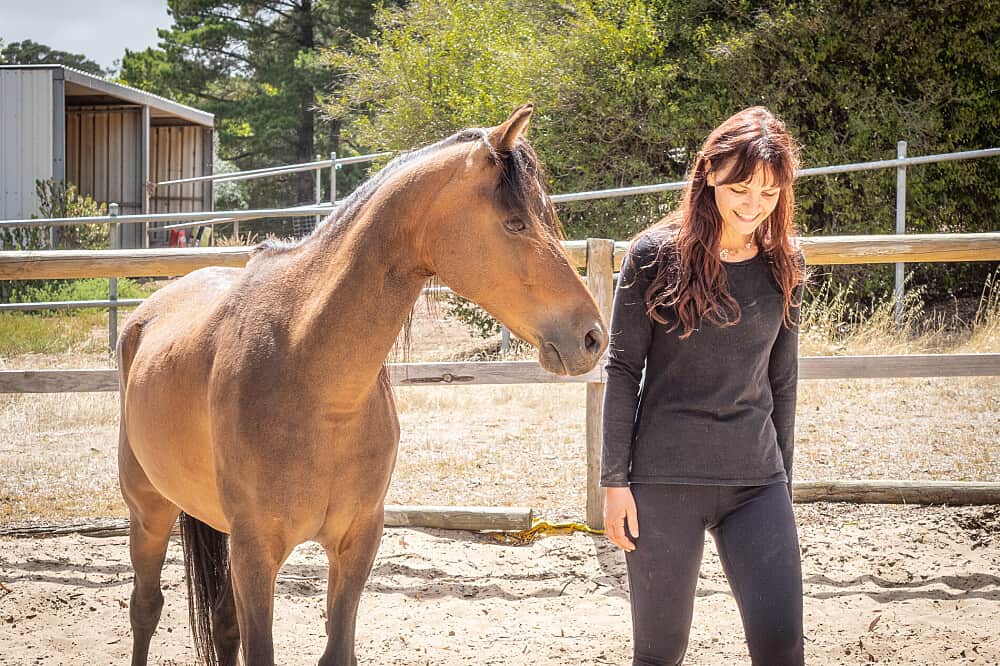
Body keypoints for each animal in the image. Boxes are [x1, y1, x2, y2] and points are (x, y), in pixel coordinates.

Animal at [117, 104, 608, 666]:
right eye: (515, 222)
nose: (593, 337)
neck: (311, 376)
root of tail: (145, 315)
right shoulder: (255, 553)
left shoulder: (358, 541)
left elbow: (337, 648)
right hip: (149, 513)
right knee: (146, 608)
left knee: (221, 624)